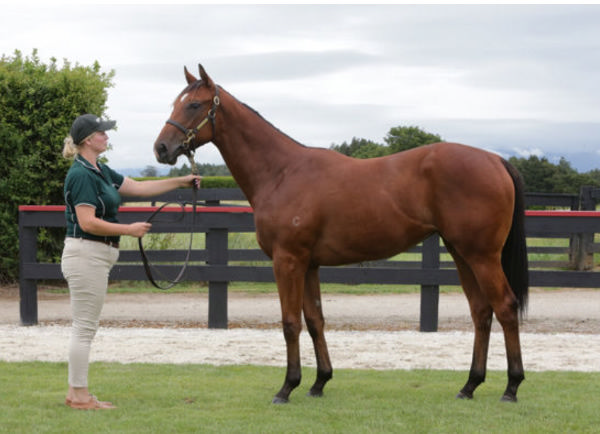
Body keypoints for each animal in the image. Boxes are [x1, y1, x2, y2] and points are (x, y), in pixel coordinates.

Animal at [154, 63, 528, 404]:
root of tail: (495, 160)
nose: (161, 148)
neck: (282, 172)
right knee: (481, 312)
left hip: (482, 256)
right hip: (462, 253)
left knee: (505, 308)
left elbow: (290, 322)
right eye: (175, 102)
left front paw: (286, 387)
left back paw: (511, 387)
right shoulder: (308, 264)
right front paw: (319, 382)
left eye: (194, 105)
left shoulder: (287, 260)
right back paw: (470, 385)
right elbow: (315, 319)